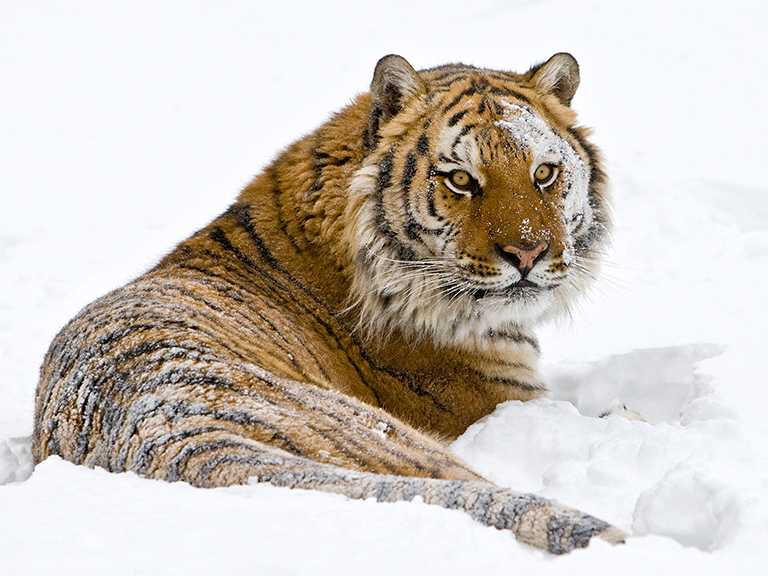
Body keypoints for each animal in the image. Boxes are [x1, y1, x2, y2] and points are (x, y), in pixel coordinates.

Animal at [32, 53, 624, 554]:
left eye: (543, 173)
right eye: (460, 180)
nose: (528, 252)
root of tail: (181, 444)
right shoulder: (507, 399)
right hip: (397, 441)